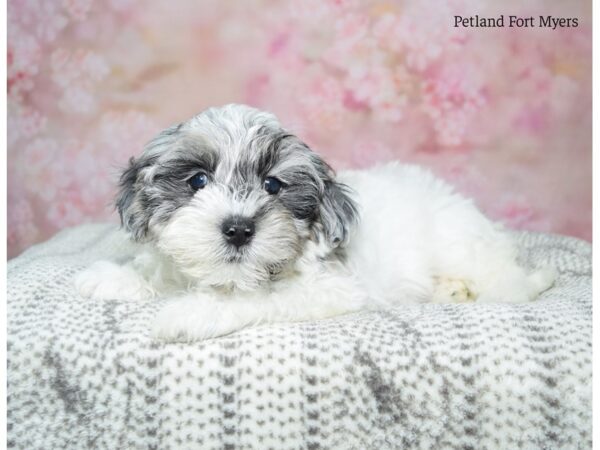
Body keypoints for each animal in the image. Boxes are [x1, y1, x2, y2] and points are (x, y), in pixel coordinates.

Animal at [76, 102, 556, 342]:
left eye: (272, 185)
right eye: (197, 180)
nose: (239, 228)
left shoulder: (329, 287)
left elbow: (254, 298)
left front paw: (192, 313)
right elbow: (161, 271)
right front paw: (117, 277)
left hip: (468, 253)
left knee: (508, 286)